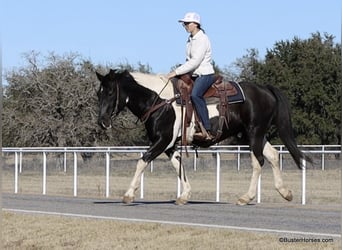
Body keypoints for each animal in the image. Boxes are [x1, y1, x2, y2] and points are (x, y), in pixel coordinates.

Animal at [95, 69, 312, 205]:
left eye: (110, 92)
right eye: (99, 93)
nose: (102, 121)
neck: (160, 101)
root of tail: (265, 89)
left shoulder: (162, 141)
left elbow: (142, 160)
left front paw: (128, 194)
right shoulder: (170, 146)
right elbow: (178, 166)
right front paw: (184, 195)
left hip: (254, 133)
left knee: (258, 162)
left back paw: (246, 197)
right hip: (255, 135)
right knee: (273, 155)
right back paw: (285, 192)